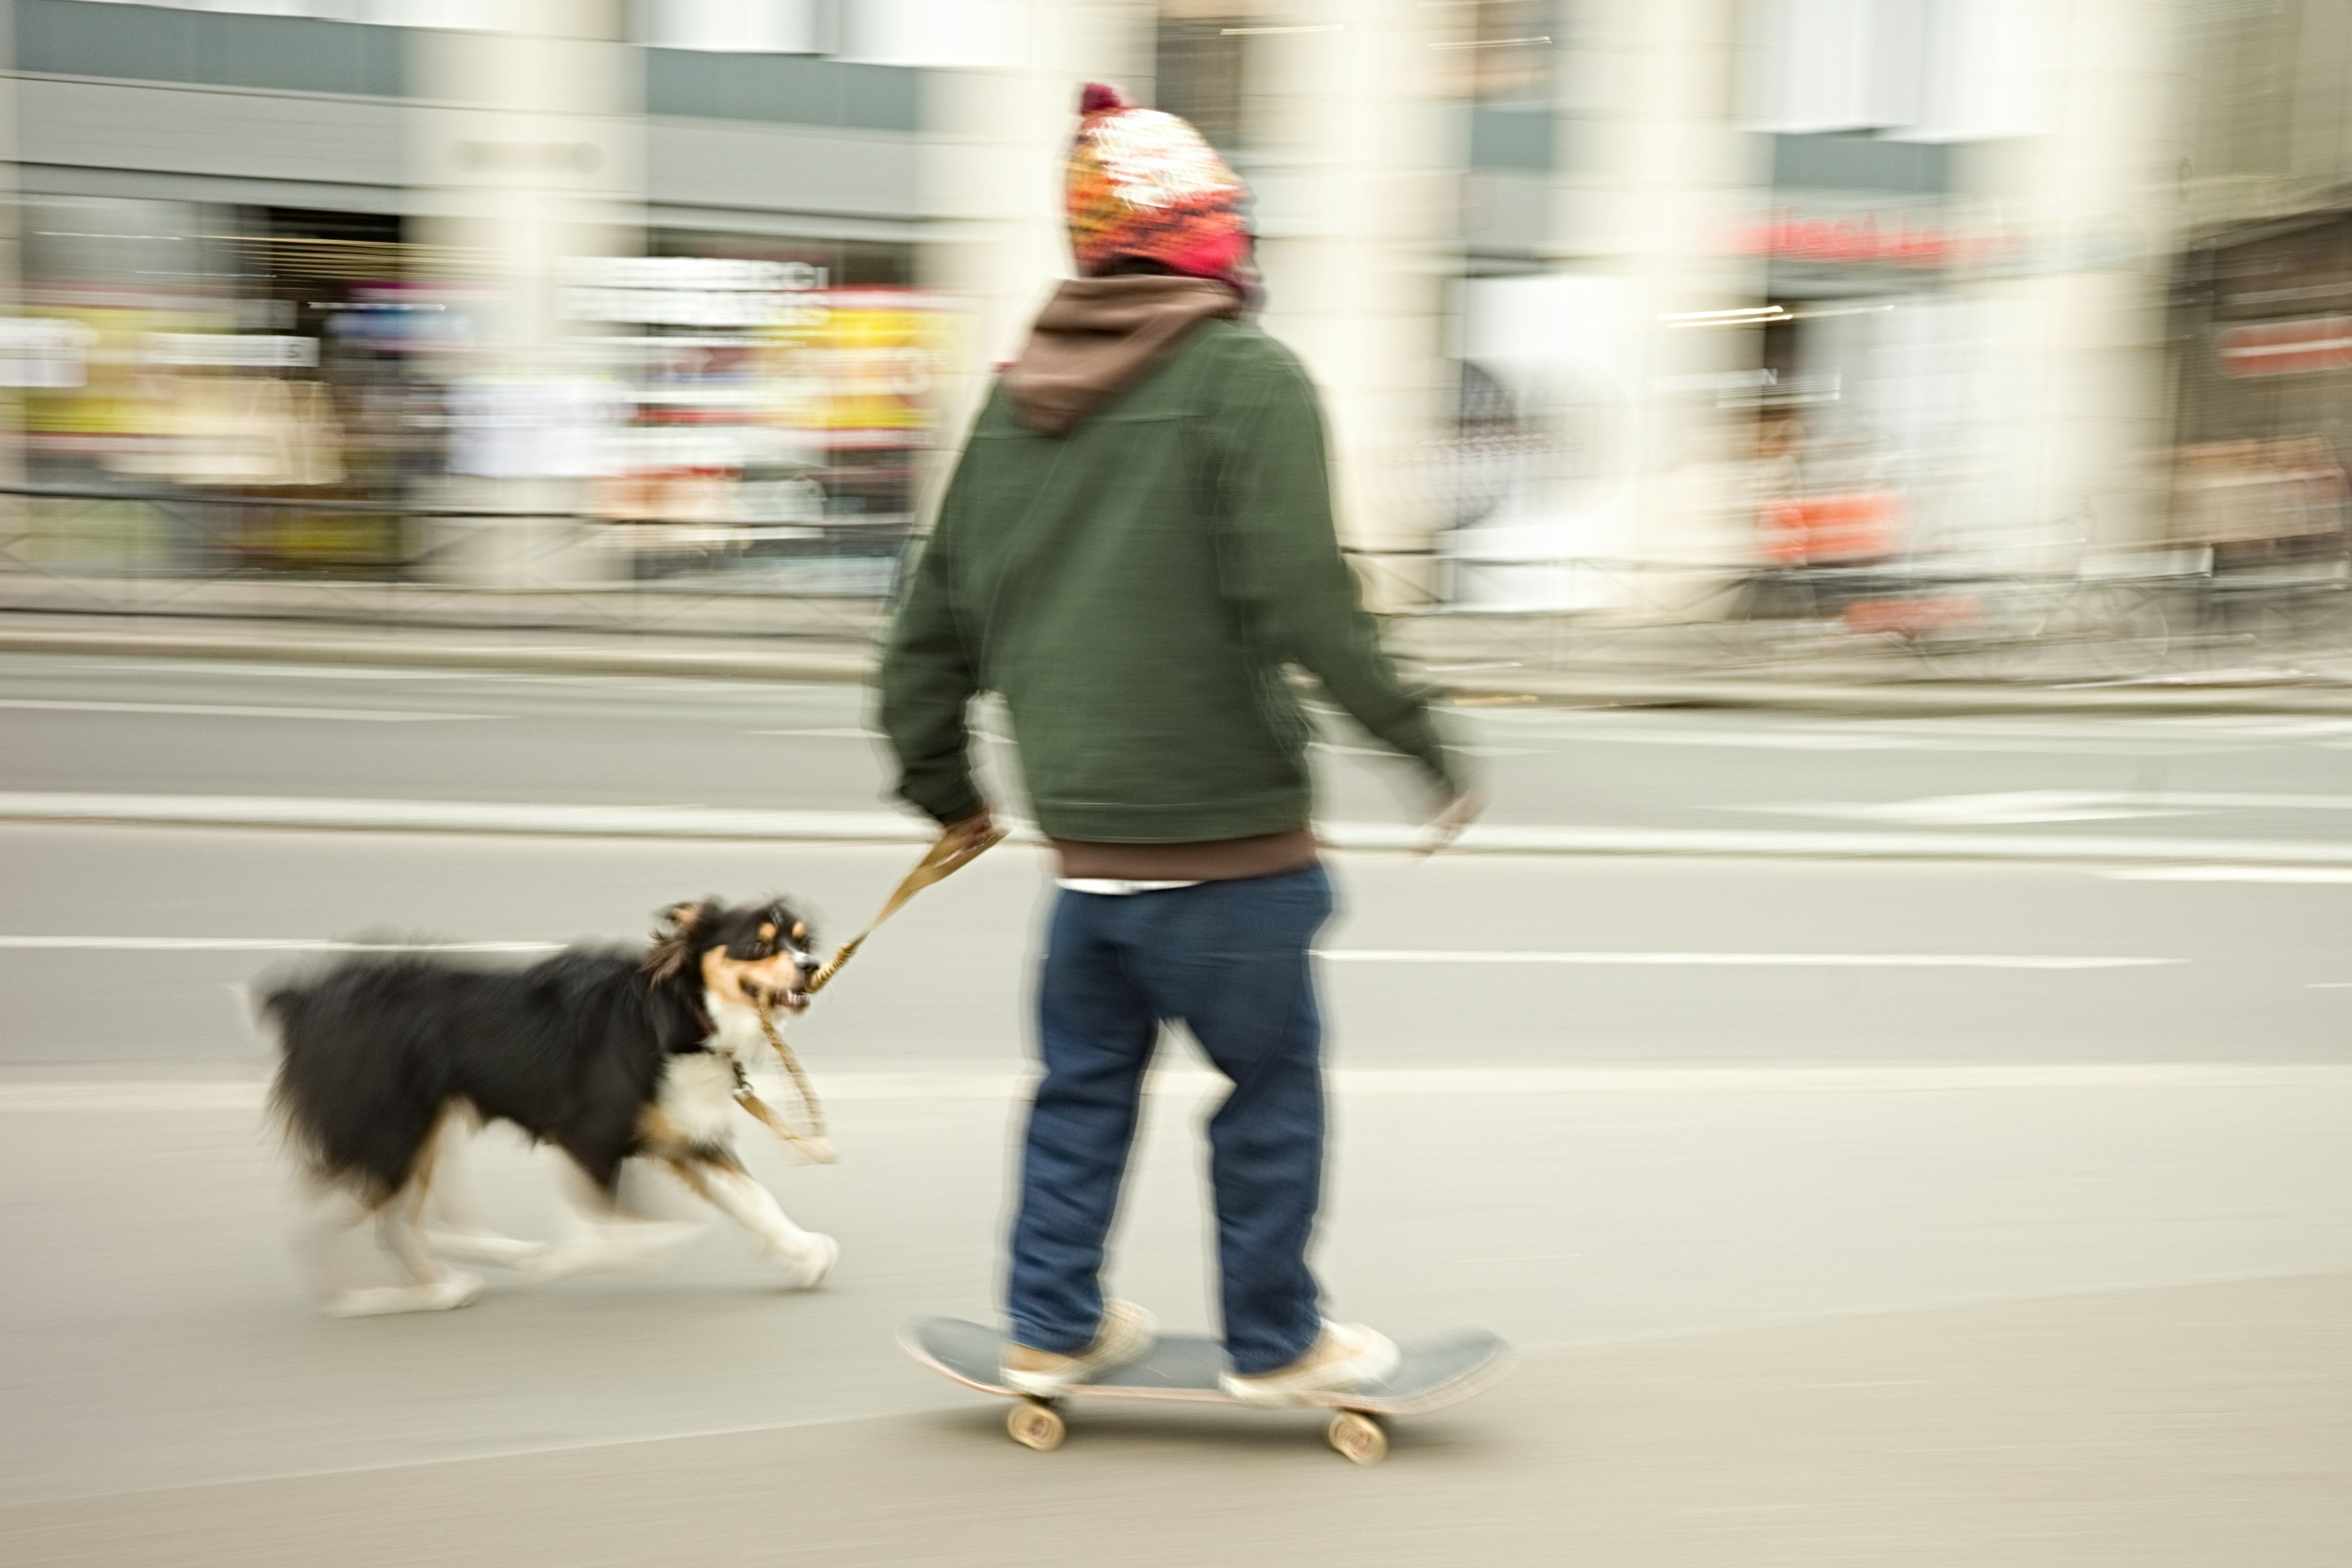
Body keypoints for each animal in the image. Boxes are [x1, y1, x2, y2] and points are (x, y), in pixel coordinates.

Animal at [265, 893, 842, 1316]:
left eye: (801, 941)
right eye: (757, 946)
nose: (812, 965)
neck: (680, 1011)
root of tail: (303, 1003)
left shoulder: (683, 1134)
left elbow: (755, 1199)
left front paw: (802, 1252)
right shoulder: (591, 1138)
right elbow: (609, 1231)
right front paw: (597, 1254)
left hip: (428, 1125)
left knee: (424, 1220)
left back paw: (474, 1267)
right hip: (393, 1132)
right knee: (354, 1226)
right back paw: (382, 1298)